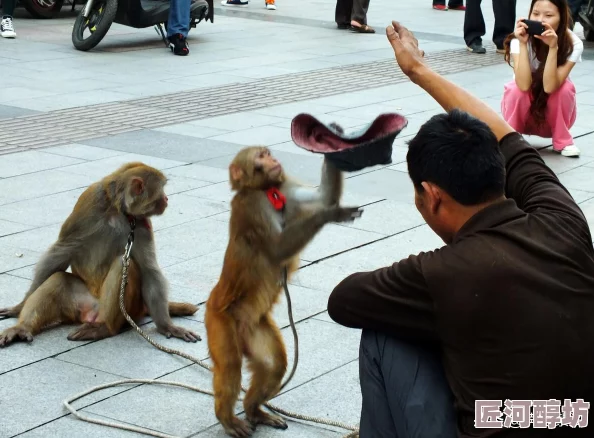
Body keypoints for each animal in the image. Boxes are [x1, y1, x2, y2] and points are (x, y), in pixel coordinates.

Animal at [0, 163, 200, 348]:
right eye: (161, 190)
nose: (166, 199)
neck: (118, 211)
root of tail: (92, 311)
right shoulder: (88, 205)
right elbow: (59, 253)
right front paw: (19, 306)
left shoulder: (141, 224)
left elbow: (149, 270)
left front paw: (167, 326)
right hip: (79, 303)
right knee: (58, 278)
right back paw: (21, 328)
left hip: (129, 310)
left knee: (122, 263)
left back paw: (104, 328)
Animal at [204, 146, 360, 434]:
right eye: (260, 157)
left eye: (267, 153)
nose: (274, 159)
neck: (267, 190)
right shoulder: (252, 207)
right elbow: (277, 249)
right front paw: (331, 214)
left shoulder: (284, 188)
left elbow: (323, 195)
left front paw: (334, 144)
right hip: (219, 320)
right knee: (230, 366)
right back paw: (226, 417)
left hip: (255, 325)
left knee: (274, 365)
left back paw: (254, 409)